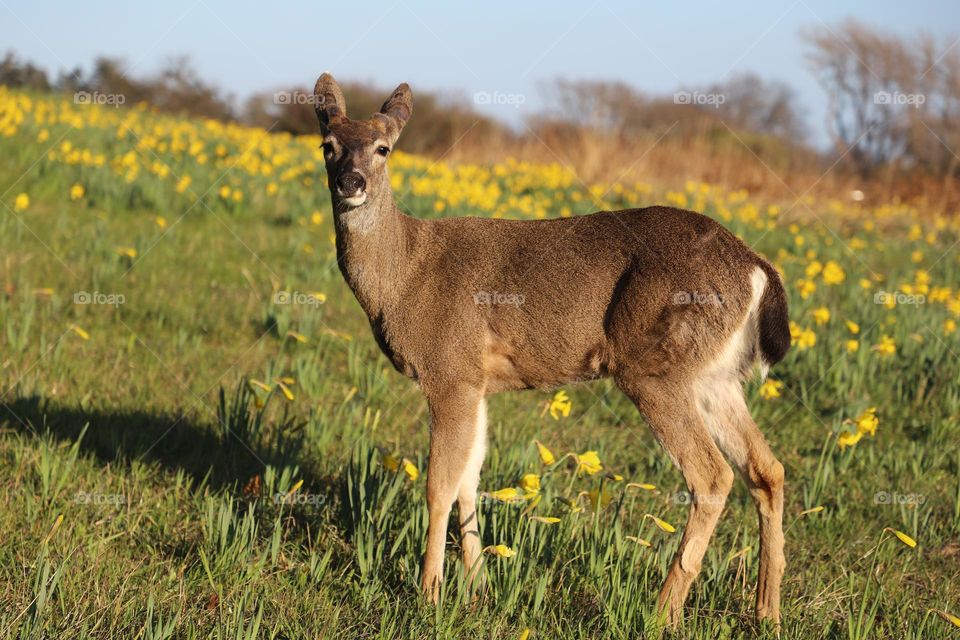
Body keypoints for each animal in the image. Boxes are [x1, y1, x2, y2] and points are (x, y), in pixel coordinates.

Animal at [312, 72, 792, 628]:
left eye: (384, 148)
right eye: (328, 145)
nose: (351, 182)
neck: (405, 275)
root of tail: (756, 268)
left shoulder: (449, 371)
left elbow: (439, 485)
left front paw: (430, 595)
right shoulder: (478, 382)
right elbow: (470, 480)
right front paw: (476, 591)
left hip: (654, 367)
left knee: (712, 476)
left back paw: (662, 613)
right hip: (714, 375)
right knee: (767, 469)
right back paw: (767, 611)